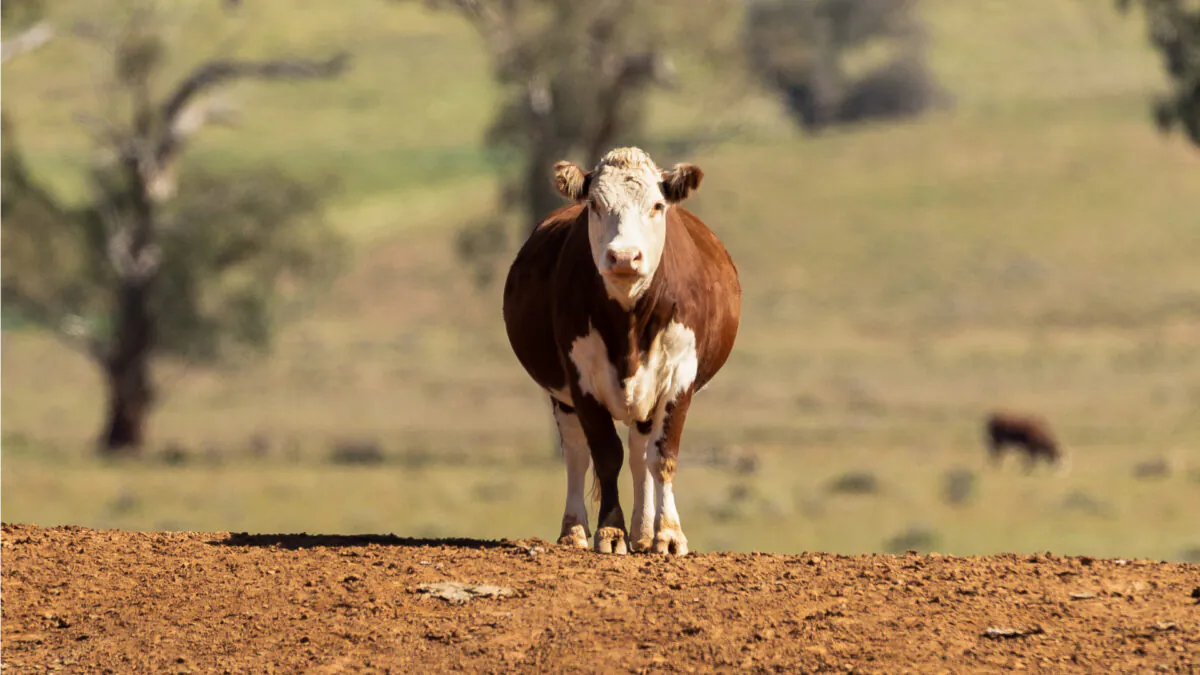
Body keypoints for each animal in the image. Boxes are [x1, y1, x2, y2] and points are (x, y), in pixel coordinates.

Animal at [502, 147, 741, 556]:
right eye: (595, 204)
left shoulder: (680, 376)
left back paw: (643, 531)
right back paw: (574, 530)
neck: (628, 322)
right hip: (562, 397)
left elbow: (663, 456)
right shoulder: (581, 378)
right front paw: (611, 532)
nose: (625, 257)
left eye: (658, 205)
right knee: (578, 454)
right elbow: (605, 455)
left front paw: (668, 535)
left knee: (641, 451)